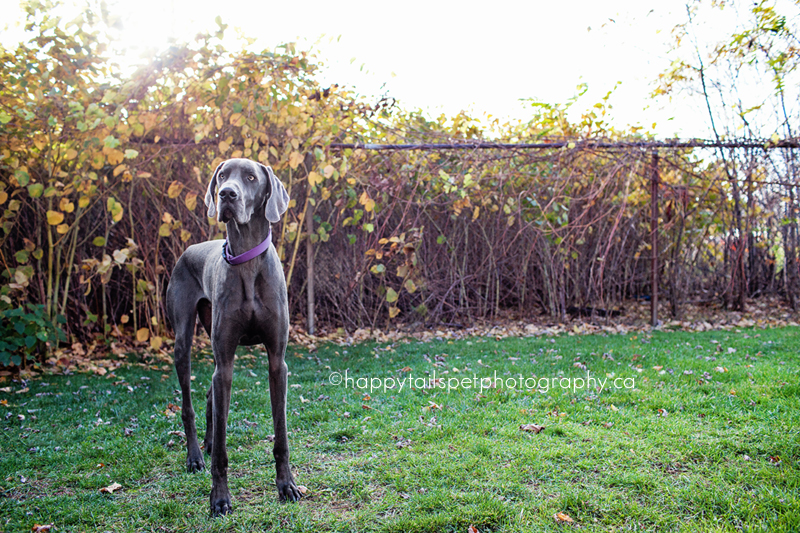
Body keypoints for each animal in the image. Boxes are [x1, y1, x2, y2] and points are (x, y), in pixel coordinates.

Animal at [165, 157, 300, 512]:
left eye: (251, 177)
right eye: (223, 175)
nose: (226, 194)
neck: (247, 260)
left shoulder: (277, 361)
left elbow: (281, 434)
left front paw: (287, 485)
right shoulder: (225, 360)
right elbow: (223, 452)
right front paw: (220, 498)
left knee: (210, 394)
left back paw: (208, 443)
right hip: (183, 341)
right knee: (189, 404)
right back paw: (195, 456)